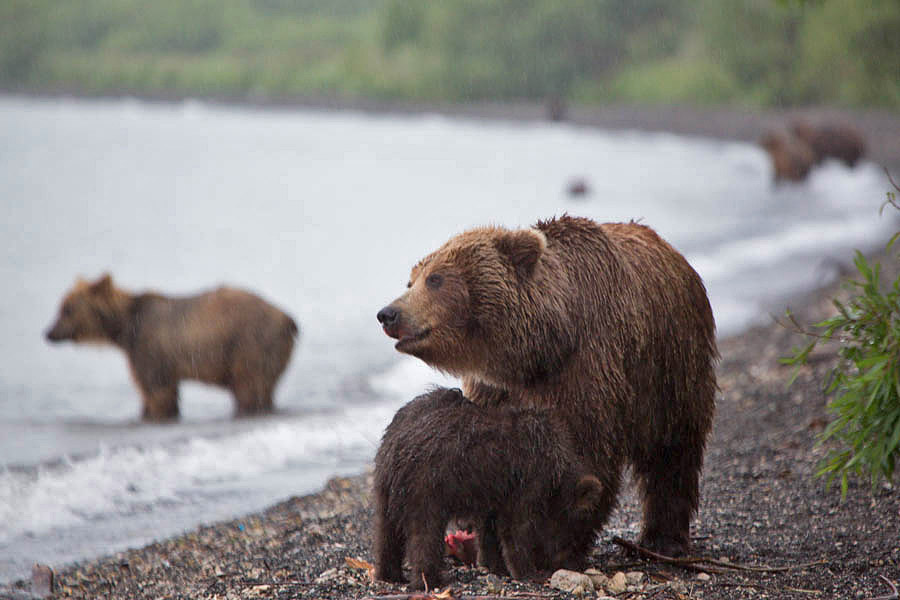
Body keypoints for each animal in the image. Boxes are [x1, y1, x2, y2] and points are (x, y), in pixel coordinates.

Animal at [46, 274, 298, 420]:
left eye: (66, 309)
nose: (48, 333)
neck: (124, 330)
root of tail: (288, 318)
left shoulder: (150, 351)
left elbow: (157, 391)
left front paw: (157, 413)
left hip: (249, 344)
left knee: (249, 387)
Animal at [372, 386, 604, 588]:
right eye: (578, 528)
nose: (575, 563)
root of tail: (399, 442)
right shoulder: (528, 481)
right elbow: (516, 528)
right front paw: (527, 572)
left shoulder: (494, 491)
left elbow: (489, 530)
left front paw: (494, 565)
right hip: (427, 484)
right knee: (424, 534)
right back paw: (428, 580)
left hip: (385, 484)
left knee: (386, 532)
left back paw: (389, 574)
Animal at [378, 216, 716, 556]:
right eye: (411, 281)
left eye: (436, 278)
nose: (388, 313)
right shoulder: (493, 390)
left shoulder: (587, 369)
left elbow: (587, 453)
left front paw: (561, 537)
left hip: (671, 365)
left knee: (673, 452)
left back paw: (664, 538)